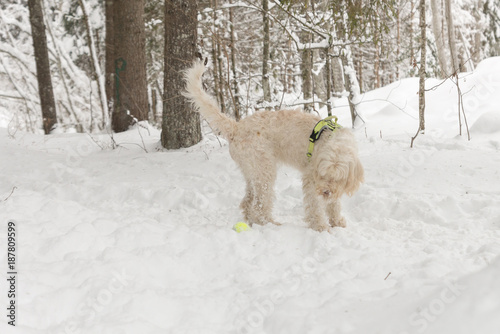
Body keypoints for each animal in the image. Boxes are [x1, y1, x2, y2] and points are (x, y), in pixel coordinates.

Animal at [184, 60, 364, 232]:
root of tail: (236, 127)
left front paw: (337, 222)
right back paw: (270, 224)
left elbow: (334, 205)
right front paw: (321, 227)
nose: (326, 192)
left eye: (338, 177)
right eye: (323, 175)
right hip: (265, 172)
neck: (332, 141)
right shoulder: (311, 179)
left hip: (252, 173)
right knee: (259, 206)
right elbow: (315, 207)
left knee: (248, 201)